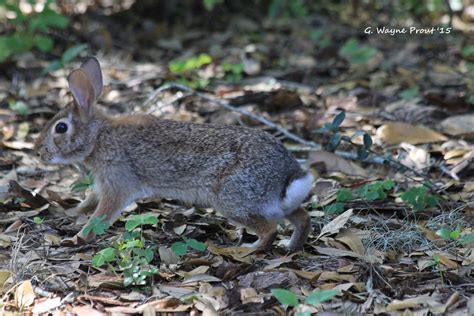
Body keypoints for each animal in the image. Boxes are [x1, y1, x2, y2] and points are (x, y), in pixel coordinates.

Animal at [34, 57, 314, 252]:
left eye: (61, 128)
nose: (38, 152)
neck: (98, 137)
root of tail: (288, 176)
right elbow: (90, 201)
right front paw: (73, 211)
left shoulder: (117, 185)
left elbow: (100, 216)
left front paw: (76, 238)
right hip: (274, 206)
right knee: (302, 217)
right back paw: (291, 246)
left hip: (234, 201)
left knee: (269, 229)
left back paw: (249, 249)